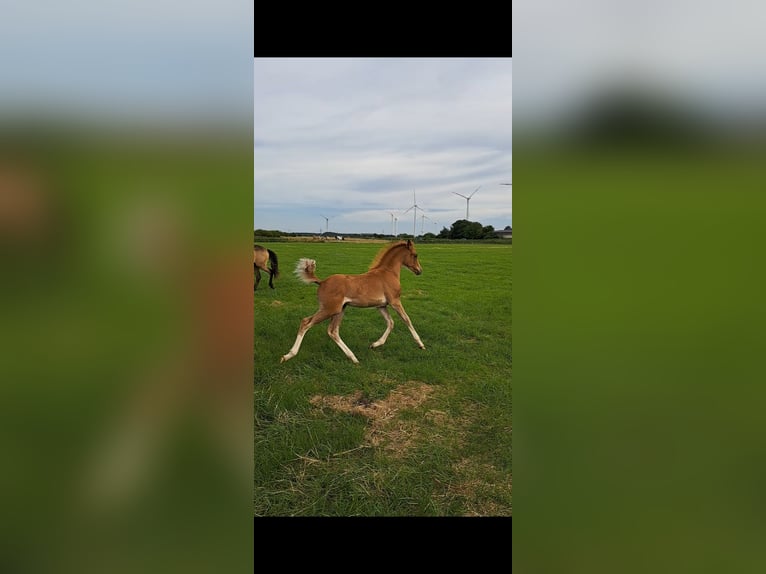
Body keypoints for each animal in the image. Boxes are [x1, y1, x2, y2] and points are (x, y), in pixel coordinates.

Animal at [282, 240, 426, 364]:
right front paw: (421, 345)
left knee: (333, 331)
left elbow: (390, 323)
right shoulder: (395, 301)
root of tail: (321, 282)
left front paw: (375, 344)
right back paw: (288, 355)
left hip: (340, 310)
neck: (388, 273)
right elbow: (406, 320)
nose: (419, 271)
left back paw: (353, 358)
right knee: (306, 322)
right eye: (415, 255)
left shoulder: (381, 306)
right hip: (329, 309)